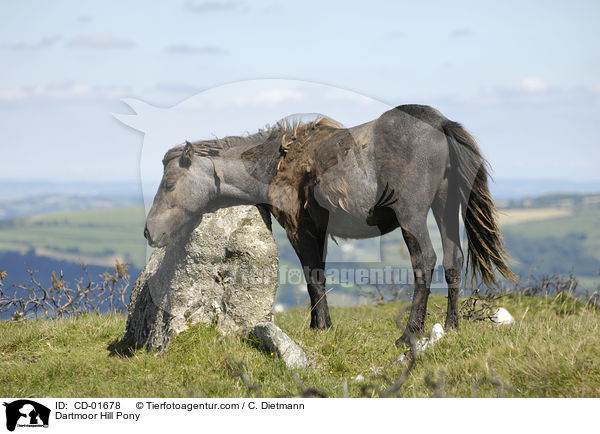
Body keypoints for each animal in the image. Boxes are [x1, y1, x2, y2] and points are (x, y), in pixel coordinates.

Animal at [143, 103, 512, 344]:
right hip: (446, 210)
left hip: (413, 216)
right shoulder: (317, 231)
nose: (149, 231)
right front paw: (319, 324)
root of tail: (441, 123)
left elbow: (313, 277)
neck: (278, 163)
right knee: (453, 261)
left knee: (426, 262)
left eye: (170, 183)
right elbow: (316, 275)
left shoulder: (300, 228)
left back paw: (410, 332)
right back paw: (452, 326)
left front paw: (321, 327)